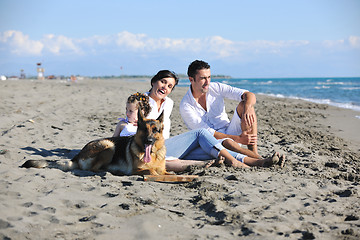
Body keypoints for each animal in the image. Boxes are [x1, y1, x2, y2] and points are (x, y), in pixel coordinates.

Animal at [20, 109, 169, 175]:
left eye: (155, 130)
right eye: (144, 129)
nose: (149, 140)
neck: (153, 155)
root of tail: (78, 155)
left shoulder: (163, 170)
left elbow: (166, 173)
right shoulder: (136, 169)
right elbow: (151, 171)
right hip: (109, 145)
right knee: (94, 169)